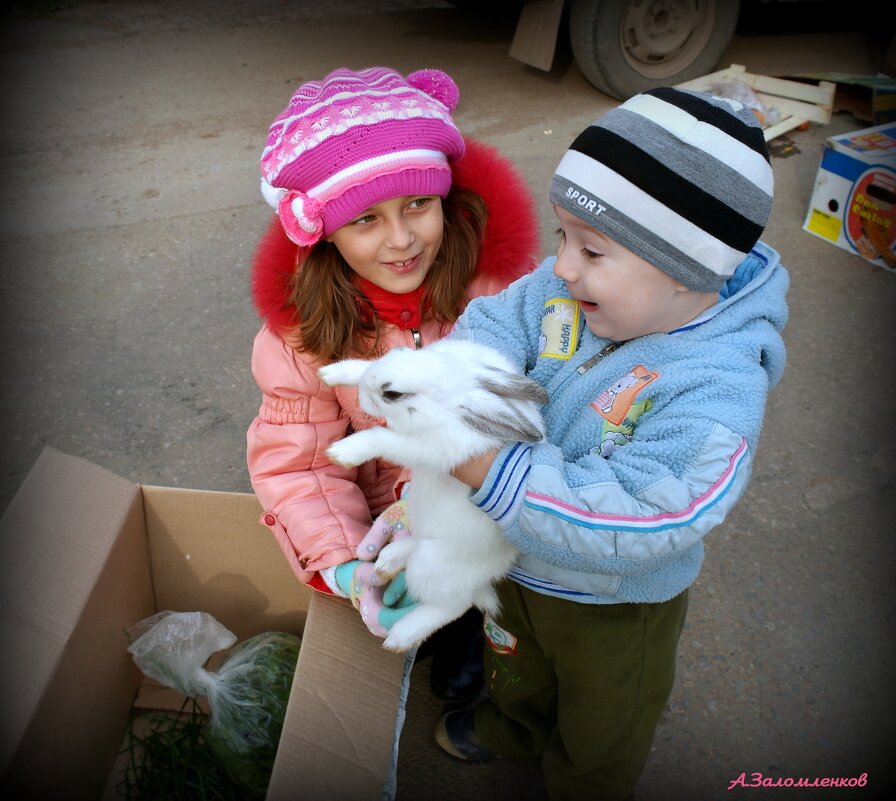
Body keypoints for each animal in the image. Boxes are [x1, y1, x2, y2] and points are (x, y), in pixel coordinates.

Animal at [322, 338, 544, 648]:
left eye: (392, 394)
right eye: (400, 351)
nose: (364, 391)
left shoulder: (423, 447)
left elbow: (381, 438)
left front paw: (342, 452)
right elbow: (363, 366)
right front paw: (330, 373)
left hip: (432, 566)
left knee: (453, 605)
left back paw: (399, 636)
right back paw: (388, 560)